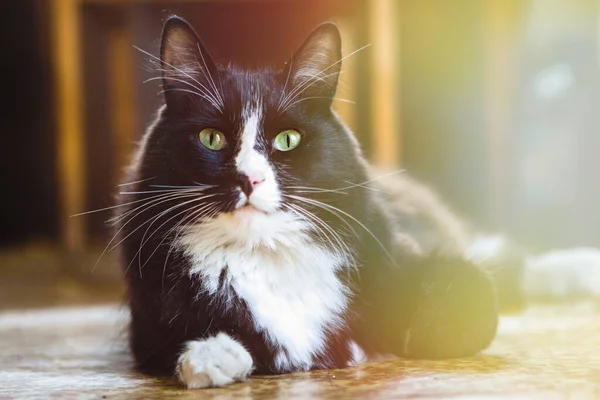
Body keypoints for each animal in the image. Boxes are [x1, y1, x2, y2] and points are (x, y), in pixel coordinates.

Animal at [115, 17, 500, 390]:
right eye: (212, 138)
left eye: (288, 140)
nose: (249, 179)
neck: (263, 254)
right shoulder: (148, 324)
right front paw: (210, 357)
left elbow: (466, 312)